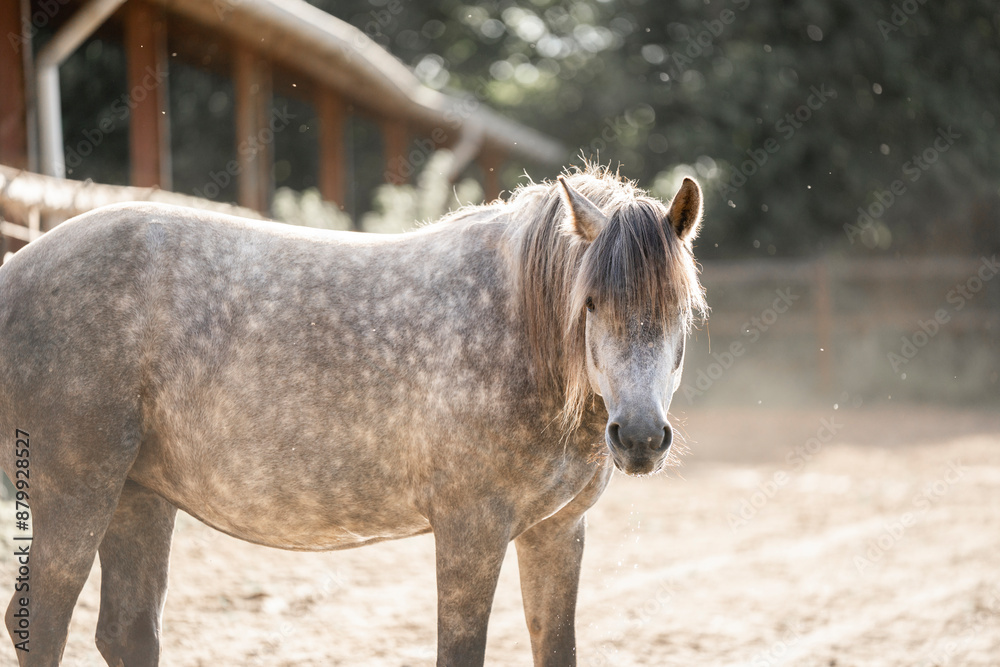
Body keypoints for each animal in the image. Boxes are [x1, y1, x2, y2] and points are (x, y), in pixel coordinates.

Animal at [0, 166, 707, 666]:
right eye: (589, 303)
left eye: (680, 309)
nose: (640, 437)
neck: (515, 331)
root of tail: (13, 271)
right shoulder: (471, 532)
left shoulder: (555, 533)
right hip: (77, 494)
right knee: (43, 621)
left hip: (138, 497)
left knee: (127, 634)